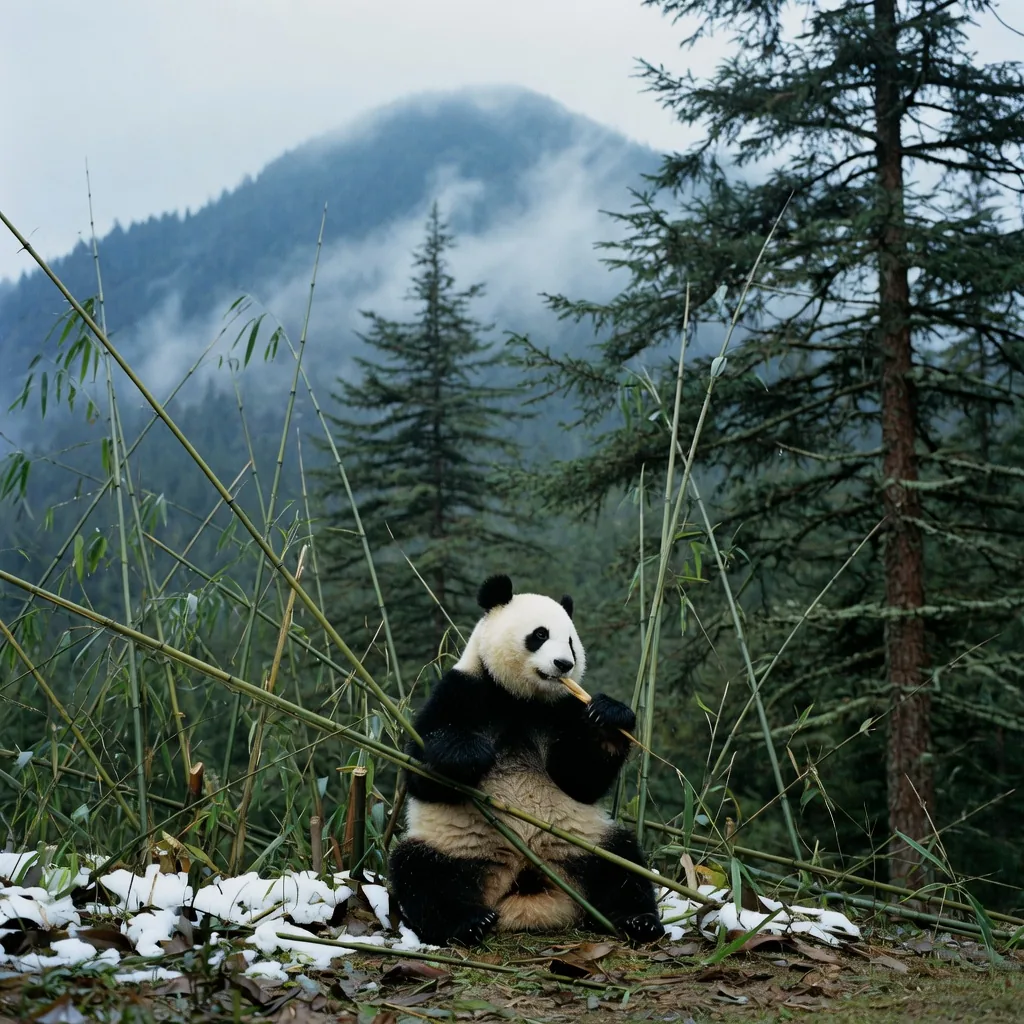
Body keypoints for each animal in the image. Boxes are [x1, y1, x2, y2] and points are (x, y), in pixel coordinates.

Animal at [389, 573, 665, 947]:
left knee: (621, 864)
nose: (564, 664)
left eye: (571, 642)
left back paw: (638, 920)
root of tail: (521, 880)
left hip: (581, 844)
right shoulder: (462, 692)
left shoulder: (561, 711)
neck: (520, 698)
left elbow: (580, 780)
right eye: (540, 635)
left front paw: (609, 716)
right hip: (457, 848)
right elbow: (423, 775)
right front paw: (468, 755)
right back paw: (468, 922)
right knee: (422, 874)